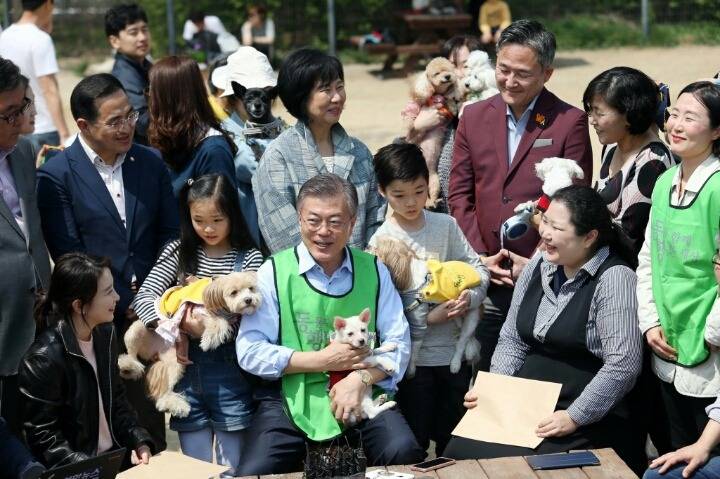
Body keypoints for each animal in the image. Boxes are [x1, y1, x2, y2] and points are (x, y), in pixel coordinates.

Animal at [118, 272, 262, 418]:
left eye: (251, 288)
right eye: (234, 292)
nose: (249, 300)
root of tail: (156, 350)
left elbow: (222, 321)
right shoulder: (197, 312)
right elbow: (219, 321)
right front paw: (209, 339)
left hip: (175, 360)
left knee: (164, 393)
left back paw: (176, 405)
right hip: (135, 331)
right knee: (131, 355)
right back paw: (129, 367)